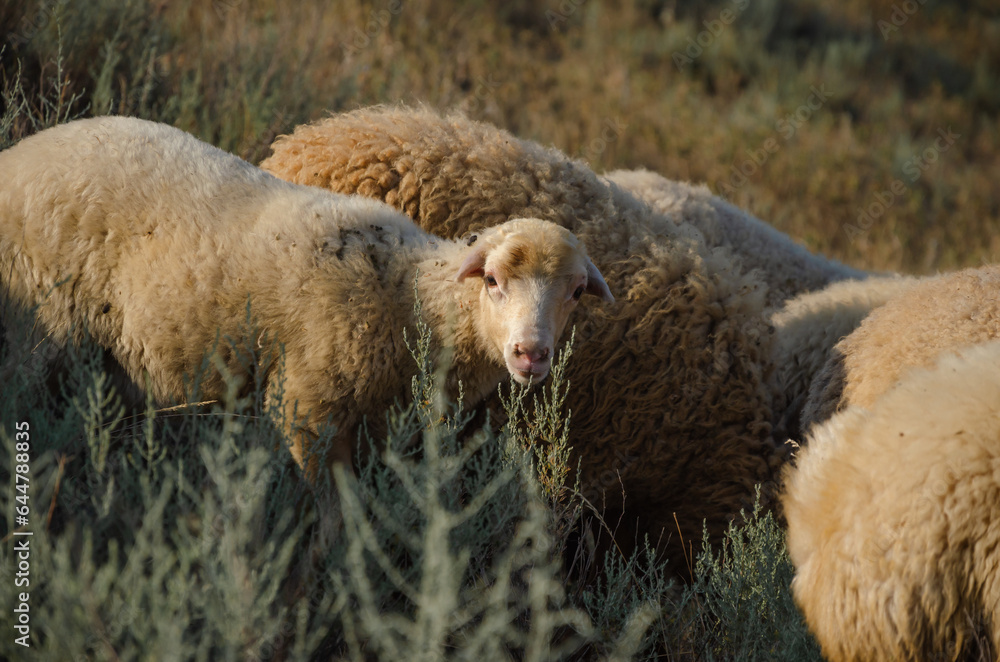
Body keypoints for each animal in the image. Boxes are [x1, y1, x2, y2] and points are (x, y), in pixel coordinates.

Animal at [0, 115, 612, 474]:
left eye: (577, 291)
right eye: (491, 280)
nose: (531, 354)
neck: (407, 295)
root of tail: (18, 154)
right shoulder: (305, 410)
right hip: (37, 327)